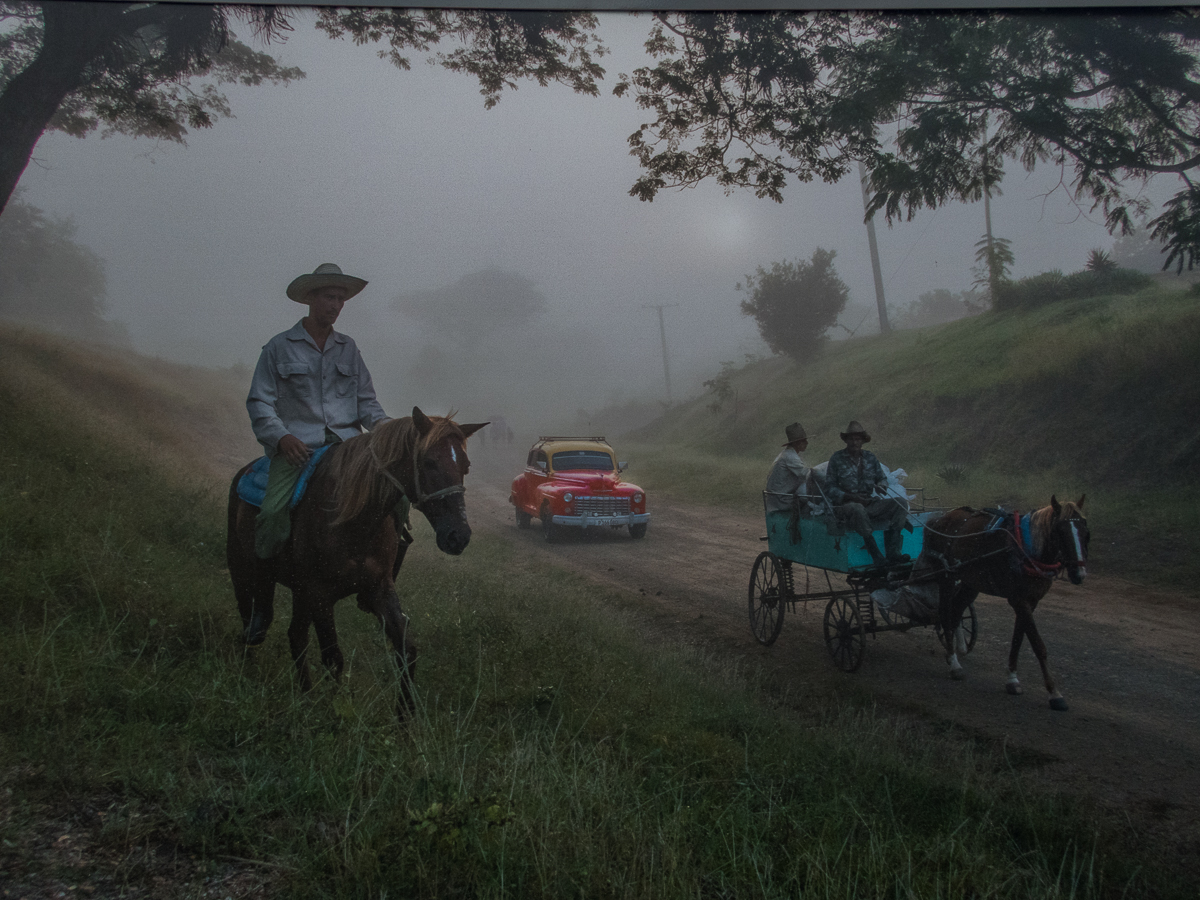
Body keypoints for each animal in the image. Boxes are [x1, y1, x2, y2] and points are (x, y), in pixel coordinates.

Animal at [225, 410, 487, 720]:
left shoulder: (378, 588)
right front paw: (335, 715)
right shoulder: (319, 594)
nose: (458, 536)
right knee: (251, 616)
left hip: (300, 594)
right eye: (429, 462)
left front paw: (404, 718)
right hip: (243, 569)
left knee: (296, 636)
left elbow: (406, 649)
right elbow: (333, 657)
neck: (351, 518)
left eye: (466, 466)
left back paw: (306, 697)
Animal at [916, 496, 1089, 715]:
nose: (1079, 574)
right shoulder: (1018, 600)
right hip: (946, 576)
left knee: (956, 613)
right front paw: (1054, 693)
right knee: (946, 615)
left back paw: (951, 653)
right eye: (1060, 531)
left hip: (970, 582)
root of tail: (939, 519)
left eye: (1085, 531)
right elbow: (1037, 644)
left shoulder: (1031, 602)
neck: (1027, 549)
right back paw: (955, 665)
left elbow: (1018, 639)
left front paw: (1012, 679)